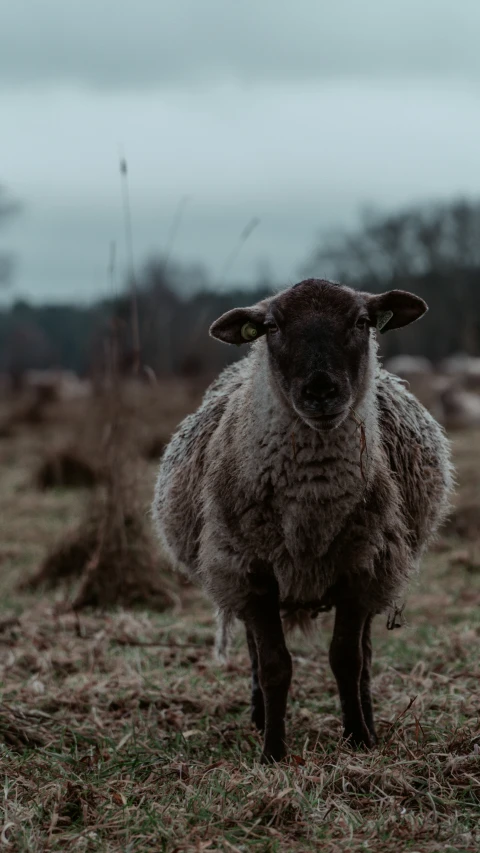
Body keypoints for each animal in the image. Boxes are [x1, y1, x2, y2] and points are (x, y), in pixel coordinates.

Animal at [152, 278, 452, 760]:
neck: (313, 504)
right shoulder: (250, 571)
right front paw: (273, 752)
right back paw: (259, 717)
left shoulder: (362, 569)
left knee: (365, 653)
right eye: (271, 327)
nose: (321, 391)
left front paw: (359, 739)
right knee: (255, 650)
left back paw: (368, 719)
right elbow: (275, 665)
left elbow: (348, 659)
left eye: (363, 321)